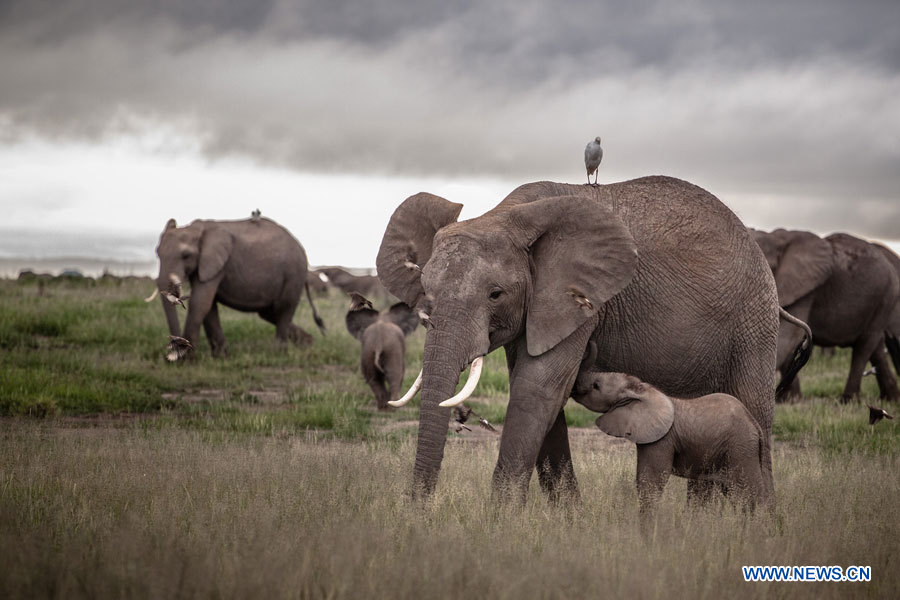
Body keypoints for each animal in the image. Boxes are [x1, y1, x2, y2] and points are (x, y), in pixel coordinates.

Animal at [153, 216, 326, 356]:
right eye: (157, 253)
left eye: (186, 255)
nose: (174, 348)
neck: (197, 228)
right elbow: (208, 306)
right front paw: (220, 357)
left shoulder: (215, 264)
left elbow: (200, 302)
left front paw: (186, 360)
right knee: (270, 313)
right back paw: (308, 344)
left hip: (293, 274)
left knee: (283, 309)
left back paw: (278, 353)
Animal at [568, 358, 768, 512]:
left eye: (596, 385)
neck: (643, 388)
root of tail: (756, 426)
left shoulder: (662, 439)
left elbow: (650, 481)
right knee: (736, 494)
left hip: (740, 448)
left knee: (749, 492)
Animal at [752, 230, 900, 404]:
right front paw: (790, 400)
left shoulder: (806, 289)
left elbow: (788, 337)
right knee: (876, 348)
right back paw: (891, 399)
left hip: (886, 297)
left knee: (864, 347)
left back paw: (848, 401)